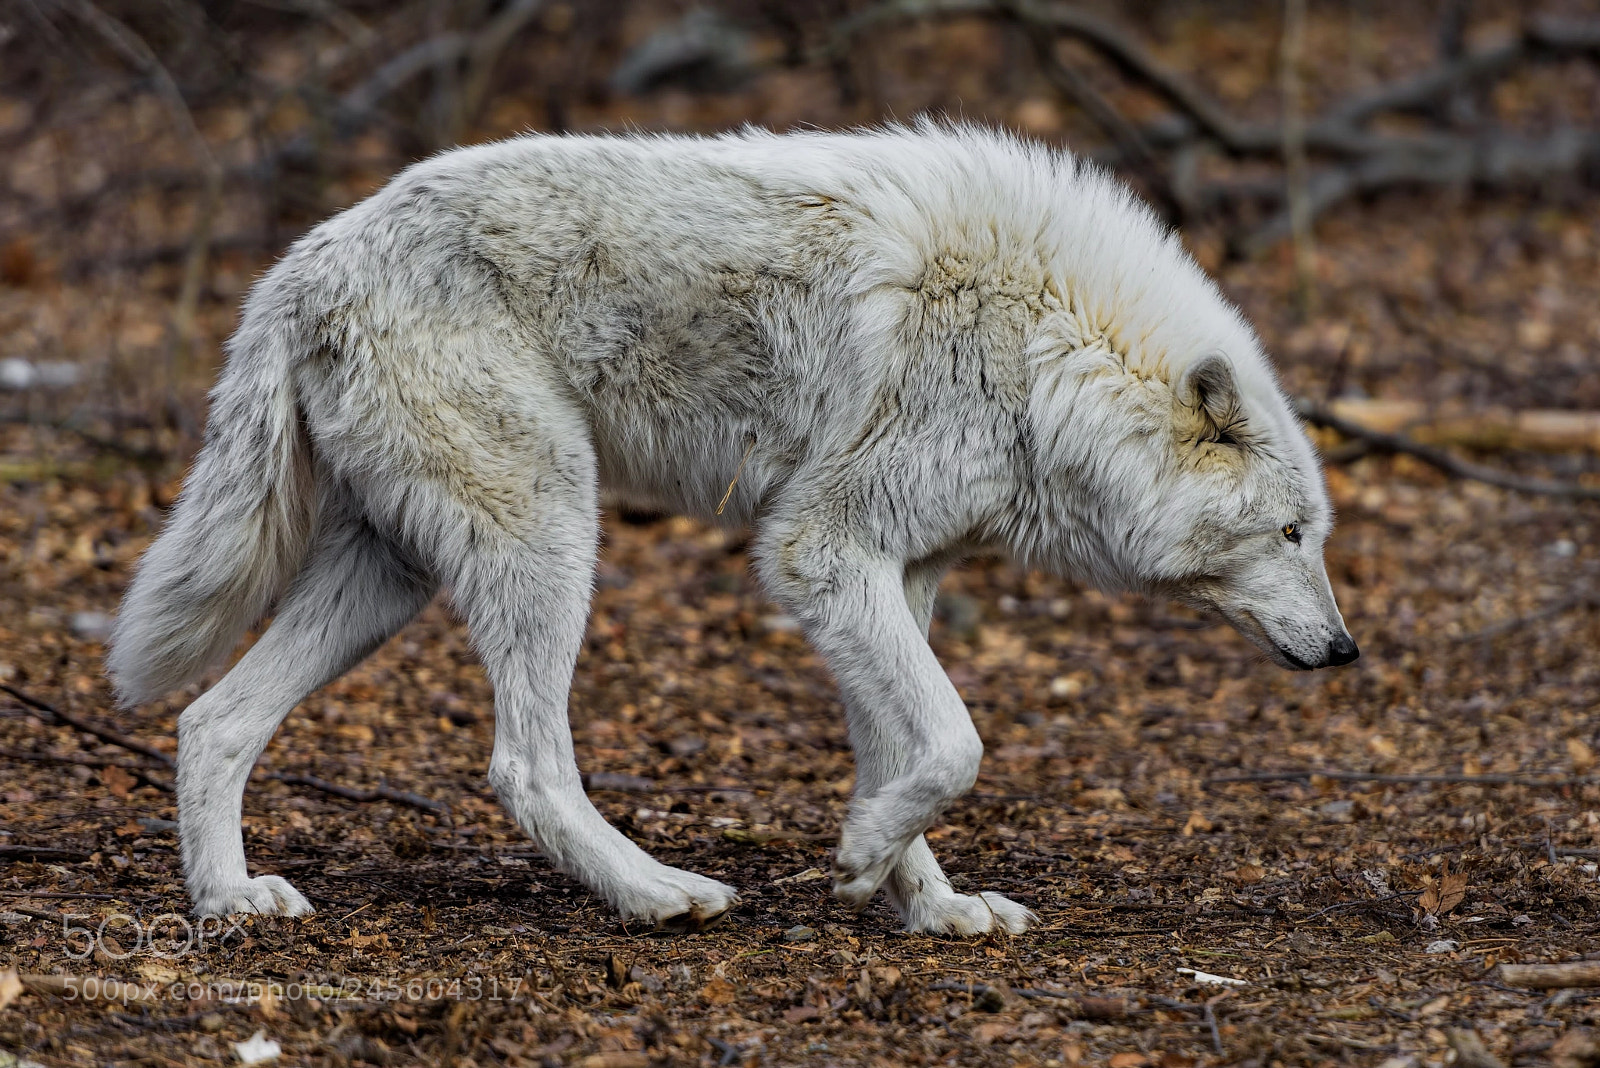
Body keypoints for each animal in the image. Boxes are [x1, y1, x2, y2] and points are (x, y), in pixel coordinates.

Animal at [108, 123, 1357, 935]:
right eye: (1295, 534)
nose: (1345, 651)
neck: (1049, 351)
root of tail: (301, 263)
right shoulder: (818, 553)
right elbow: (956, 744)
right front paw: (862, 859)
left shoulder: (895, 575)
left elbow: (904, 752)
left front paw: (921, 901)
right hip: (548, 536)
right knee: (524, 765)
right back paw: (660, 894)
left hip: (391, 575)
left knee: (210, 723)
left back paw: (229, 900)